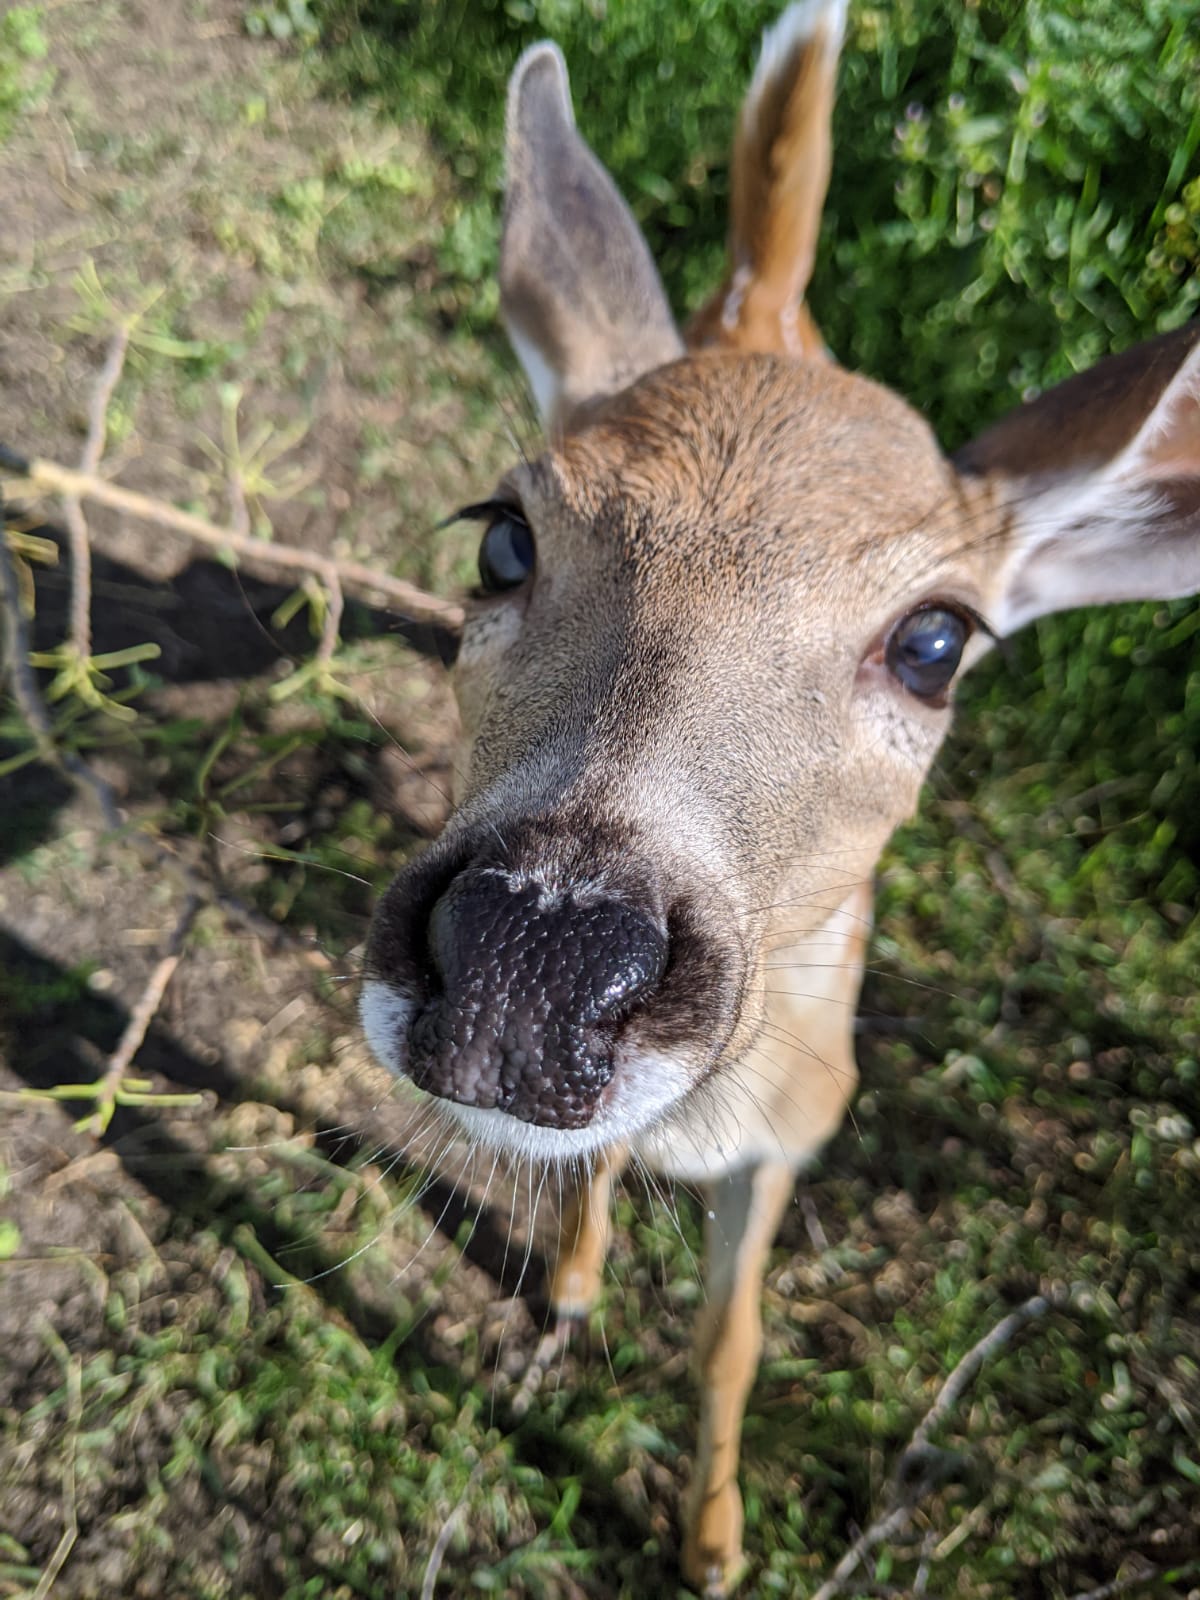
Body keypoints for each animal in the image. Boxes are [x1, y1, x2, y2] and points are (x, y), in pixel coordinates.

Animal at [361, 6, 1200, 1593]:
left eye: (936, 642)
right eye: (502, 534)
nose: (531, 961)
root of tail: (769, 303)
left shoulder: (800, 1131)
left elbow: (728, 1341)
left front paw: (713, 1541)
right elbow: (583, 1187)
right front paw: (567, 1297)